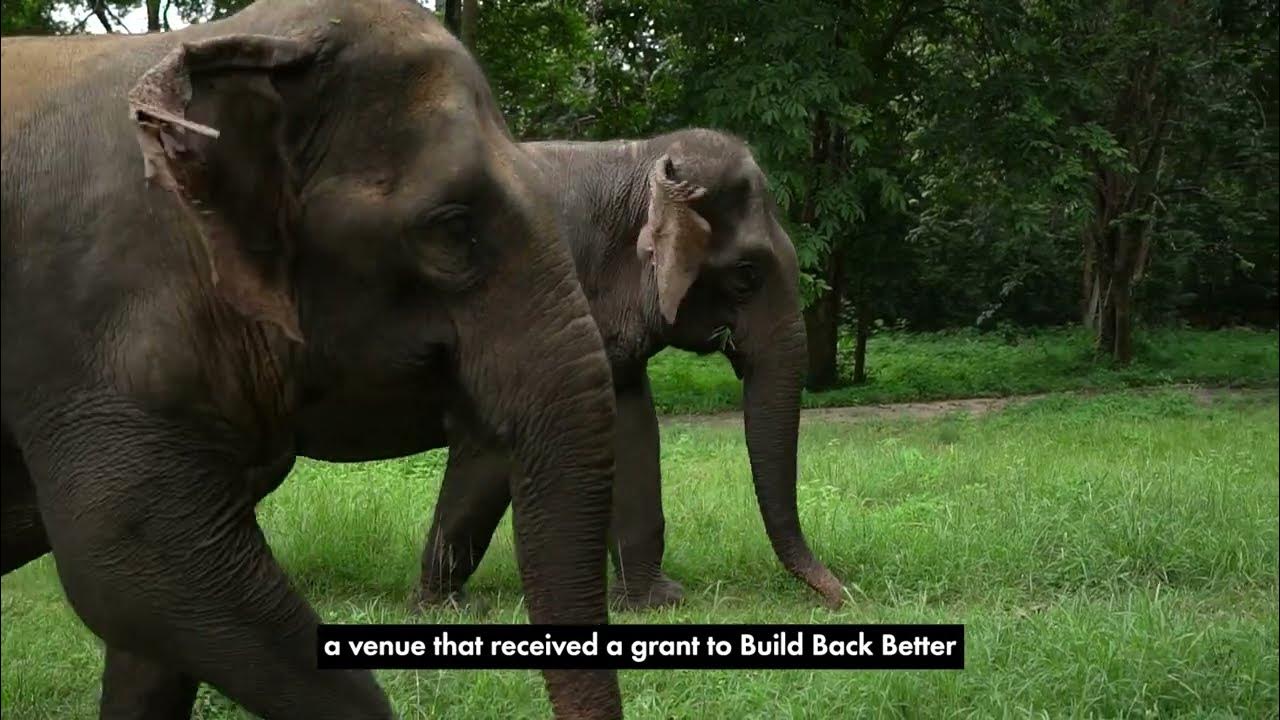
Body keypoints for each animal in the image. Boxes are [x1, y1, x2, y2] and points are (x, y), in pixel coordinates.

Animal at [415, 129, 845, 612]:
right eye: (745, 274)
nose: (841, 598)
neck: (638, 156)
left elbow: (633, 424)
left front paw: (656, 601)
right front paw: (447, 607)